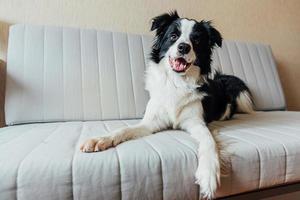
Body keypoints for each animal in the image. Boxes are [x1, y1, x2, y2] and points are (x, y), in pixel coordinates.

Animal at [80, 11, 253, 200]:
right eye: (173, 36)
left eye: (196, 40)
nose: (184, 47)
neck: (177, 82)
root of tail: (221, 80)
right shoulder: (151, 122)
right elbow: (123, 130)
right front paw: (100, 139)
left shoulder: (197, 123)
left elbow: (209, 142)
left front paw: (208, 175)